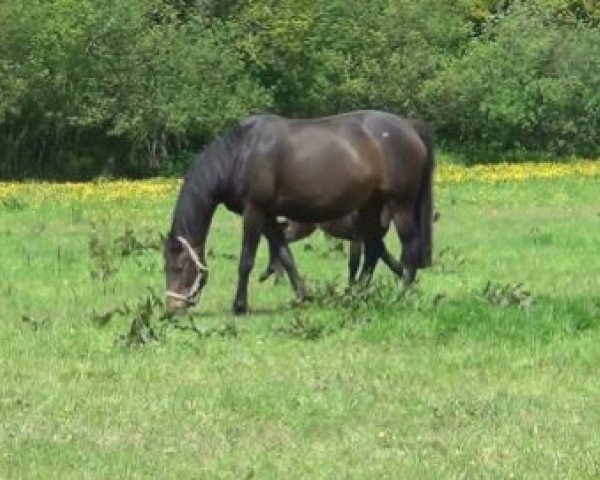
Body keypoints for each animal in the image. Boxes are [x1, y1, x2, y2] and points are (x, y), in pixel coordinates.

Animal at [164, 112, 436, 316]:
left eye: (178, 267)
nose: (172, 308)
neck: (242, 153)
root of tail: (409, 127)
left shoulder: (254, 211)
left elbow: (246, 260)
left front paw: (239, 306)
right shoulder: (269, 215)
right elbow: (285, 254)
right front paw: (304, 296)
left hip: (400, 205)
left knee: (408, 249)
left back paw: (399, 294)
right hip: (371, 205)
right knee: (373, 250)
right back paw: (356, 295)